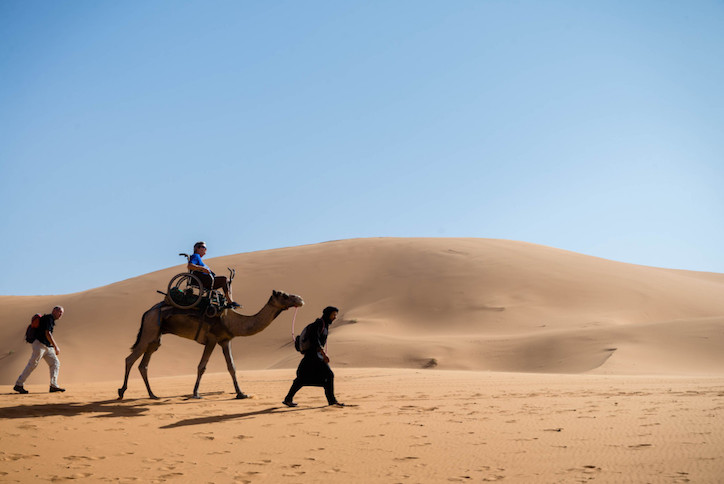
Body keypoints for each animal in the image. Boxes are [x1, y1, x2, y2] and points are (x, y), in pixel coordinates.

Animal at [118, 290, 302, 398]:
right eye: (284, 295)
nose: (300, 299)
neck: (230, 320)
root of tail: (147, 312)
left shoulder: (225, 340)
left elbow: (232, 367)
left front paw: (241, 393)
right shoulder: (212, 339)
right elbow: (202, 366)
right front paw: (196, 393)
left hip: (155, 338)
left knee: (143, 364)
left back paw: (153, 394)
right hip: (150, 330)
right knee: (130, 359)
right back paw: (121, 392)